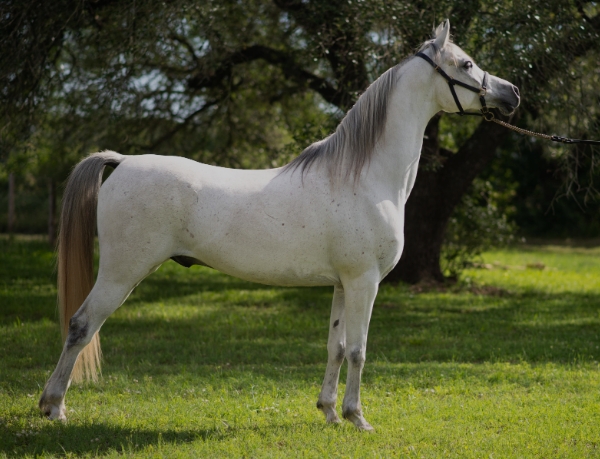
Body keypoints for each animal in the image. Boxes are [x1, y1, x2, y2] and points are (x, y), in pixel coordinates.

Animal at [39, 20, 516, 432]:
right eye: (467, 63)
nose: (512, 93)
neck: (365, 176)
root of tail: (122, 161)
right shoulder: (364, 282)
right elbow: (358, 351)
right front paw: (357, 417)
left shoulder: (342, 284)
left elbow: (335, 347)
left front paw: (329, 412)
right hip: (121, 273)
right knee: (81, 326)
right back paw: (54, 407)